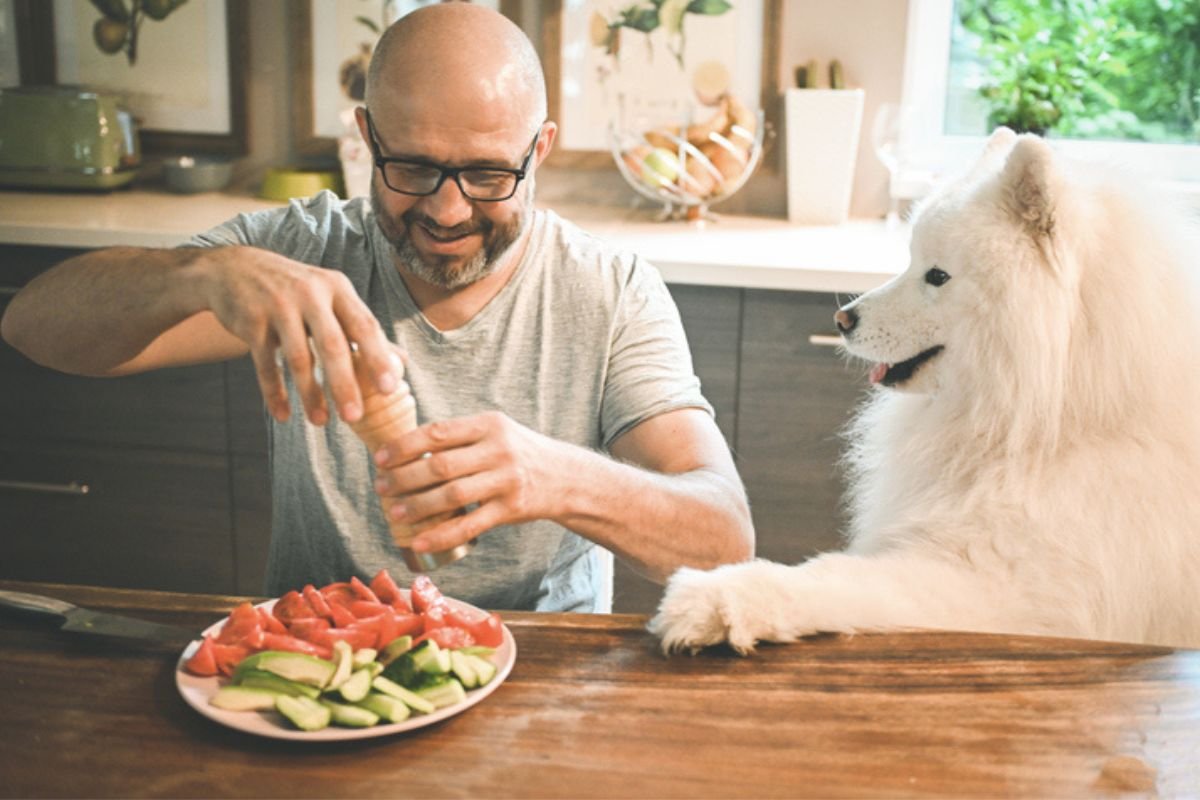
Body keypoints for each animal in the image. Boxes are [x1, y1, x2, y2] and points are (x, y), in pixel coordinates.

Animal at [652, 131, 1200, 652]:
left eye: (937, 275)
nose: (841, 319)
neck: (1069, 414)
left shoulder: (1024, 588)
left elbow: (841, 578)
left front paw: (717, 598)